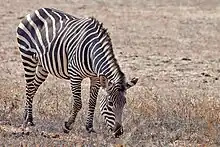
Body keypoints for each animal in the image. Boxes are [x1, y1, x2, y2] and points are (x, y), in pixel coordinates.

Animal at [16, 7, 138, 137]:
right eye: (110, 103)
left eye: (124, 103)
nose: (119, 132)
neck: (92, 53)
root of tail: (37, 10)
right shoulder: (75, 75)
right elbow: (78, 103)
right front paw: (67, 126)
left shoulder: (95, 78)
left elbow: (92, 102)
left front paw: (89, 127)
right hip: (27, 57)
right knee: (29, 88)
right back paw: (28, 120)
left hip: (42, 66)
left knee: (33, 88)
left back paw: (27, 116)